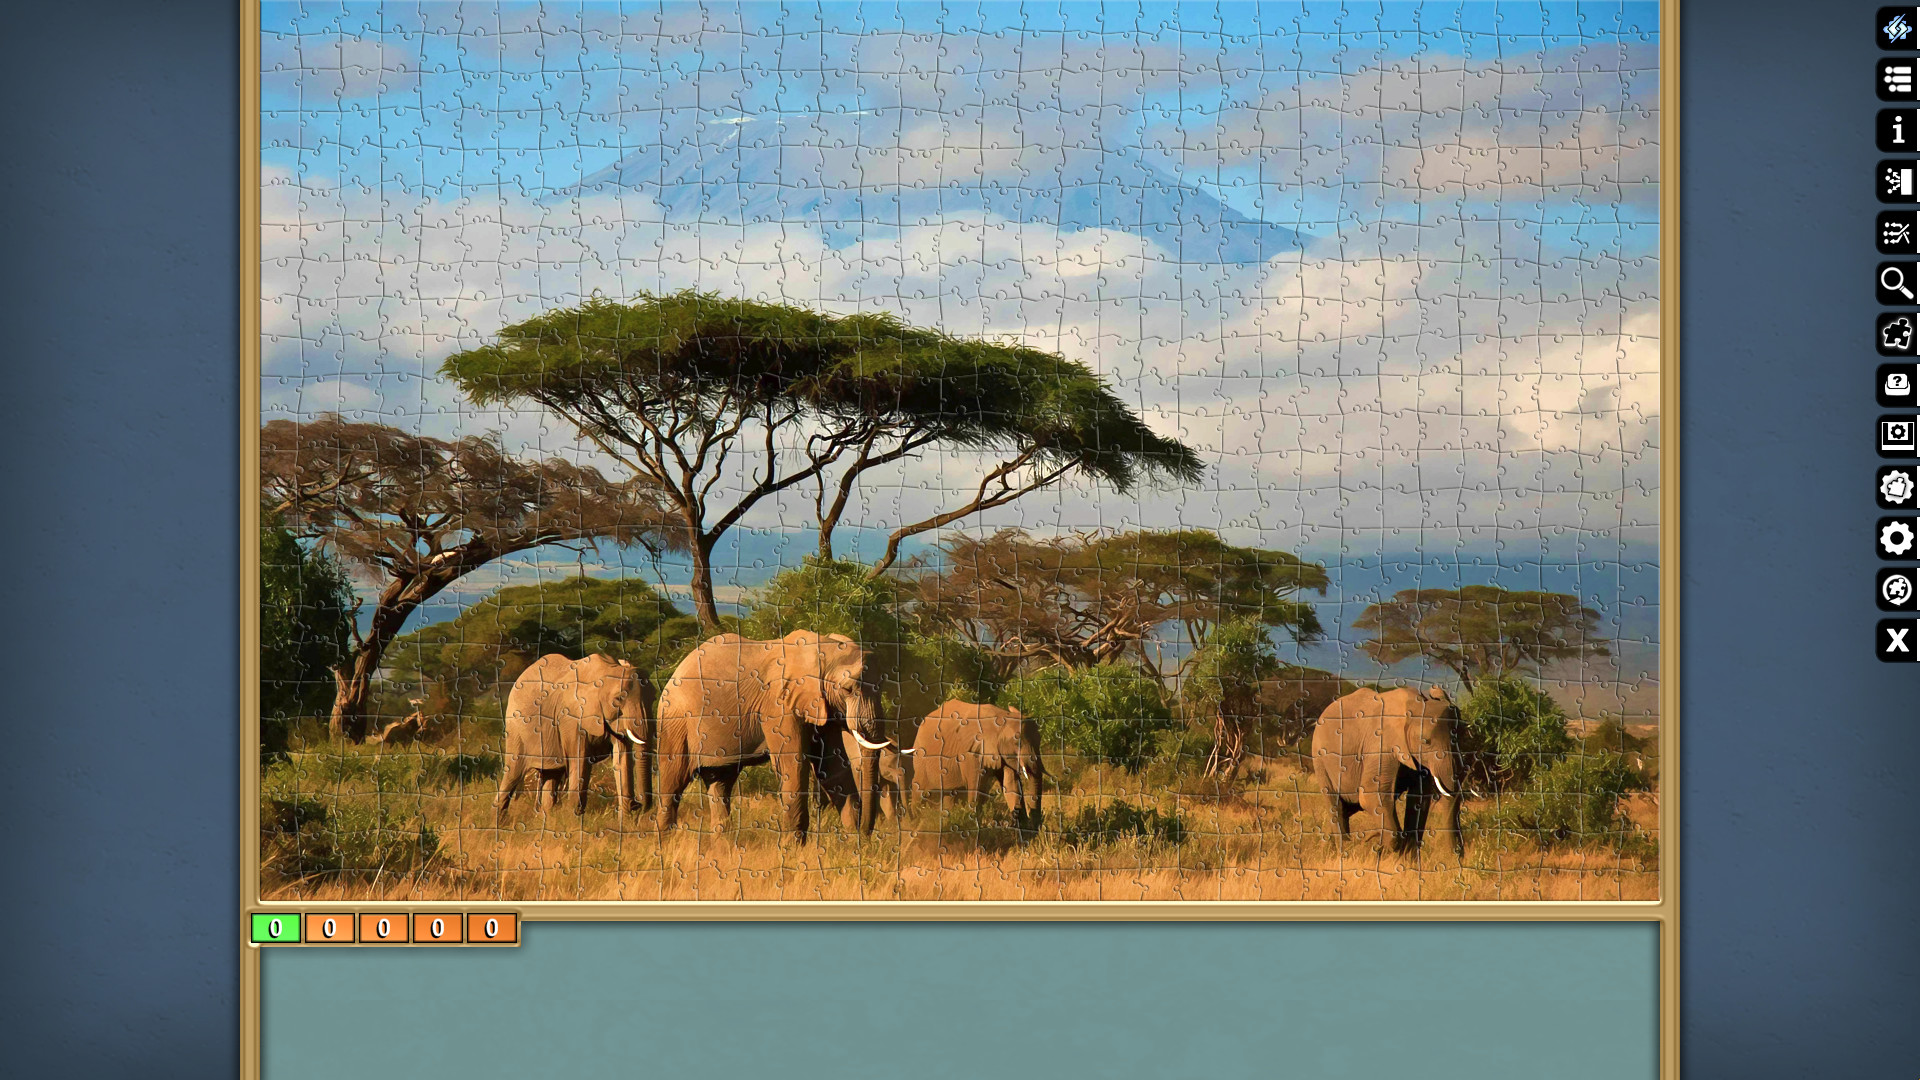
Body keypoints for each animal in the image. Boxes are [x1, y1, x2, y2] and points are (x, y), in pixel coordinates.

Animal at [493, 653, 656, 826]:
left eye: (654, 698)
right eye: (618, 699)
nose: (637, 804)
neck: (607, 670)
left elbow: (621, 759)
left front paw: (624, 824)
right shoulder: (570, 718)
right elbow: (580, 762)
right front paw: (574, 825)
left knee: (552, 776)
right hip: (516, 731)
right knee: (513, 774)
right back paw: (498, 824)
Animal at [654, 631, 892, 842]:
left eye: (881, 687)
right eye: (848, 689)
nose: (865, 836)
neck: (824, 648)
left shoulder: (823, 706)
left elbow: (832, 768)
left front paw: (852, 846)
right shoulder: (779, 705)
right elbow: (793, 766)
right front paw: (792, 850)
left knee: (720, 784)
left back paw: (721, 850)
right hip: (675, 722)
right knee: (673, 781)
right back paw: (666, 846)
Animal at [905, 701, 1044, 828]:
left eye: (1040, 739)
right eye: (1016, 743)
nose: (1034, 820)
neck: (1000, 719)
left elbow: (1011, 785)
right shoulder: (970, 753)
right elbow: (976, 790)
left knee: (949, 796)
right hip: (921, 758)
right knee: (919, 789)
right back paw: (915, 824)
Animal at [1310, 686, 1464, 856]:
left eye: (1461, 737)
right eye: (1426, 742)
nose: (1457, 854)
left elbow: (1419, 800)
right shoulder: (1380, 745)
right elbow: (1370, 794)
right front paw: (1379, 845)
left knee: (1347, 808)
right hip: (1320, 761)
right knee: (1336, 805)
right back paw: (1346, 850)